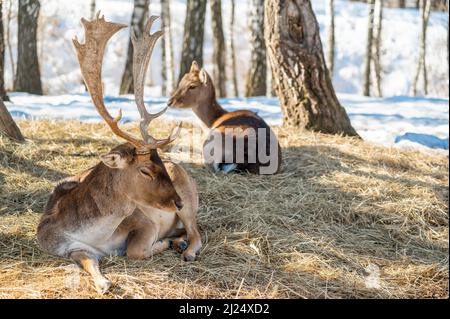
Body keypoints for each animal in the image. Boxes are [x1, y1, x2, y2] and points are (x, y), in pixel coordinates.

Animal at [36, 14, 201, 296]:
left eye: (160, 163)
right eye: (145, 170)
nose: (176, 202)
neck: (97, 236)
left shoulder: (144, 221)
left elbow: (135, 250)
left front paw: (162, 244)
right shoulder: (66, 246)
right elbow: (88, 261)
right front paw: (104, 283)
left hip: (190, 198)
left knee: (197, 231)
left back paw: (185, 249)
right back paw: (177, 241)